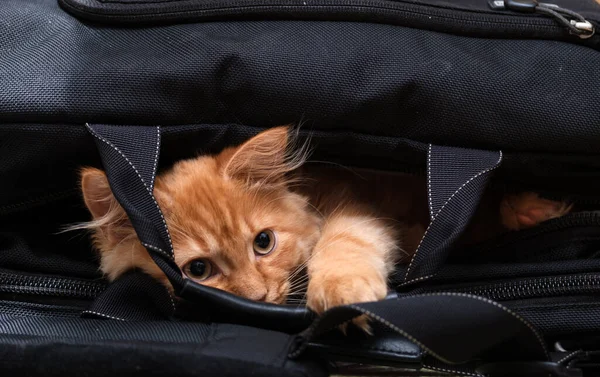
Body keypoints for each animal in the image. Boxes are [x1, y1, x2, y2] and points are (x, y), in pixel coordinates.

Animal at [78, 126, 572, 314]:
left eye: (263, 243)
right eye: (198, 270)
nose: (258, 298)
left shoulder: (354, 206)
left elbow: (345, 242)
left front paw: (342, 291)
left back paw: (529, 208)